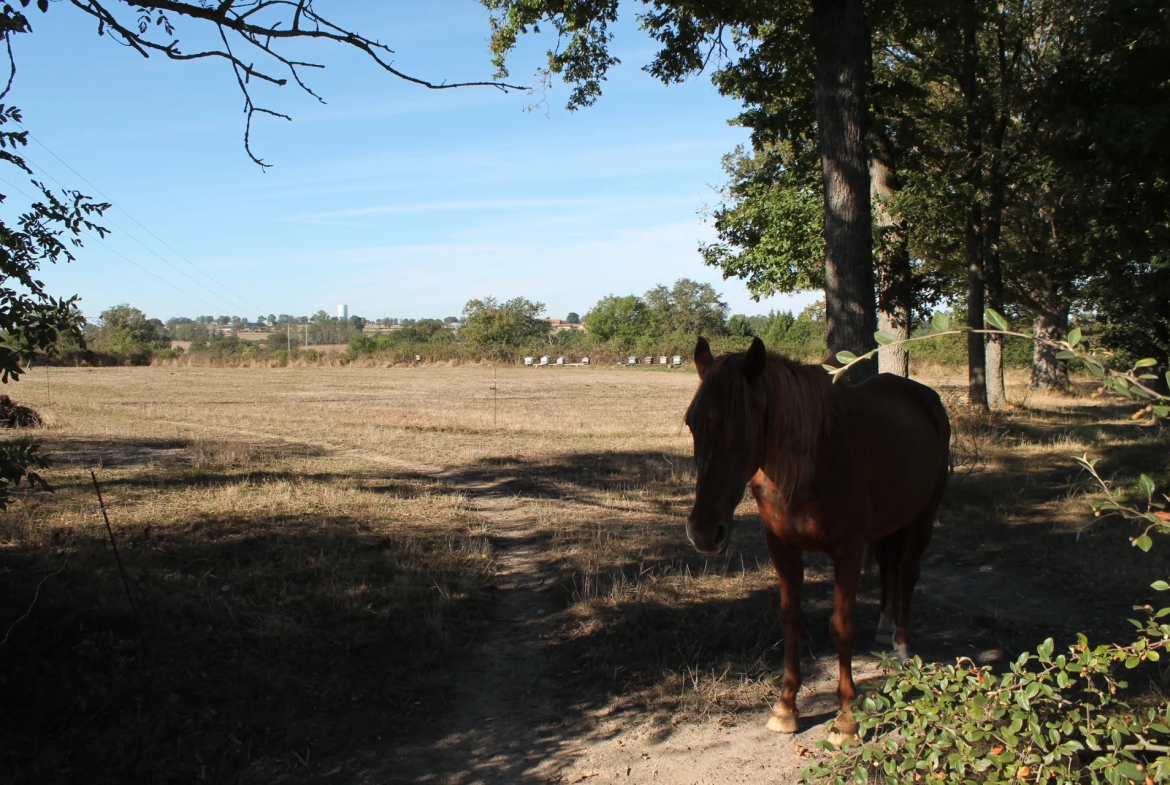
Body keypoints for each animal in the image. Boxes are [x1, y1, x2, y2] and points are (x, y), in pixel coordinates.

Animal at [683, 336, 950, 744]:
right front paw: (785, 708)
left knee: (907, 572)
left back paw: (902, 645)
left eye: (745, 429)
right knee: (888, 565)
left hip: (923, 514)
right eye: (692, 423)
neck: (812, 464)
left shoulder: (848, 551)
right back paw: (884, 626)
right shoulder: (782, 548)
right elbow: (791, 619)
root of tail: (926, 397)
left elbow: (841, 627)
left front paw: (846, 718)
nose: (703, 531)